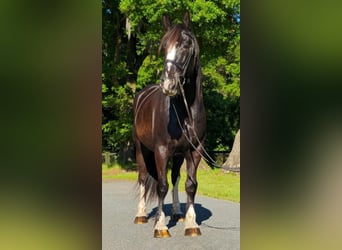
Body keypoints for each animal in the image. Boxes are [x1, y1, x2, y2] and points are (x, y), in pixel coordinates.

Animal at [132, 12, 204, 238]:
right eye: (164, 47)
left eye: (186, 44)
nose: (167, 84)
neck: (185, 112)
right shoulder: (161, 150)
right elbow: (161, 185)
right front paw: (160, 226)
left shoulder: (195, 150)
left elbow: (190, 185)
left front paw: (191, 223)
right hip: (141, 149)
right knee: (143, 177)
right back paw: (141, 215)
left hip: (179, 154)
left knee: (175, 178)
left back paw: (177, 212)